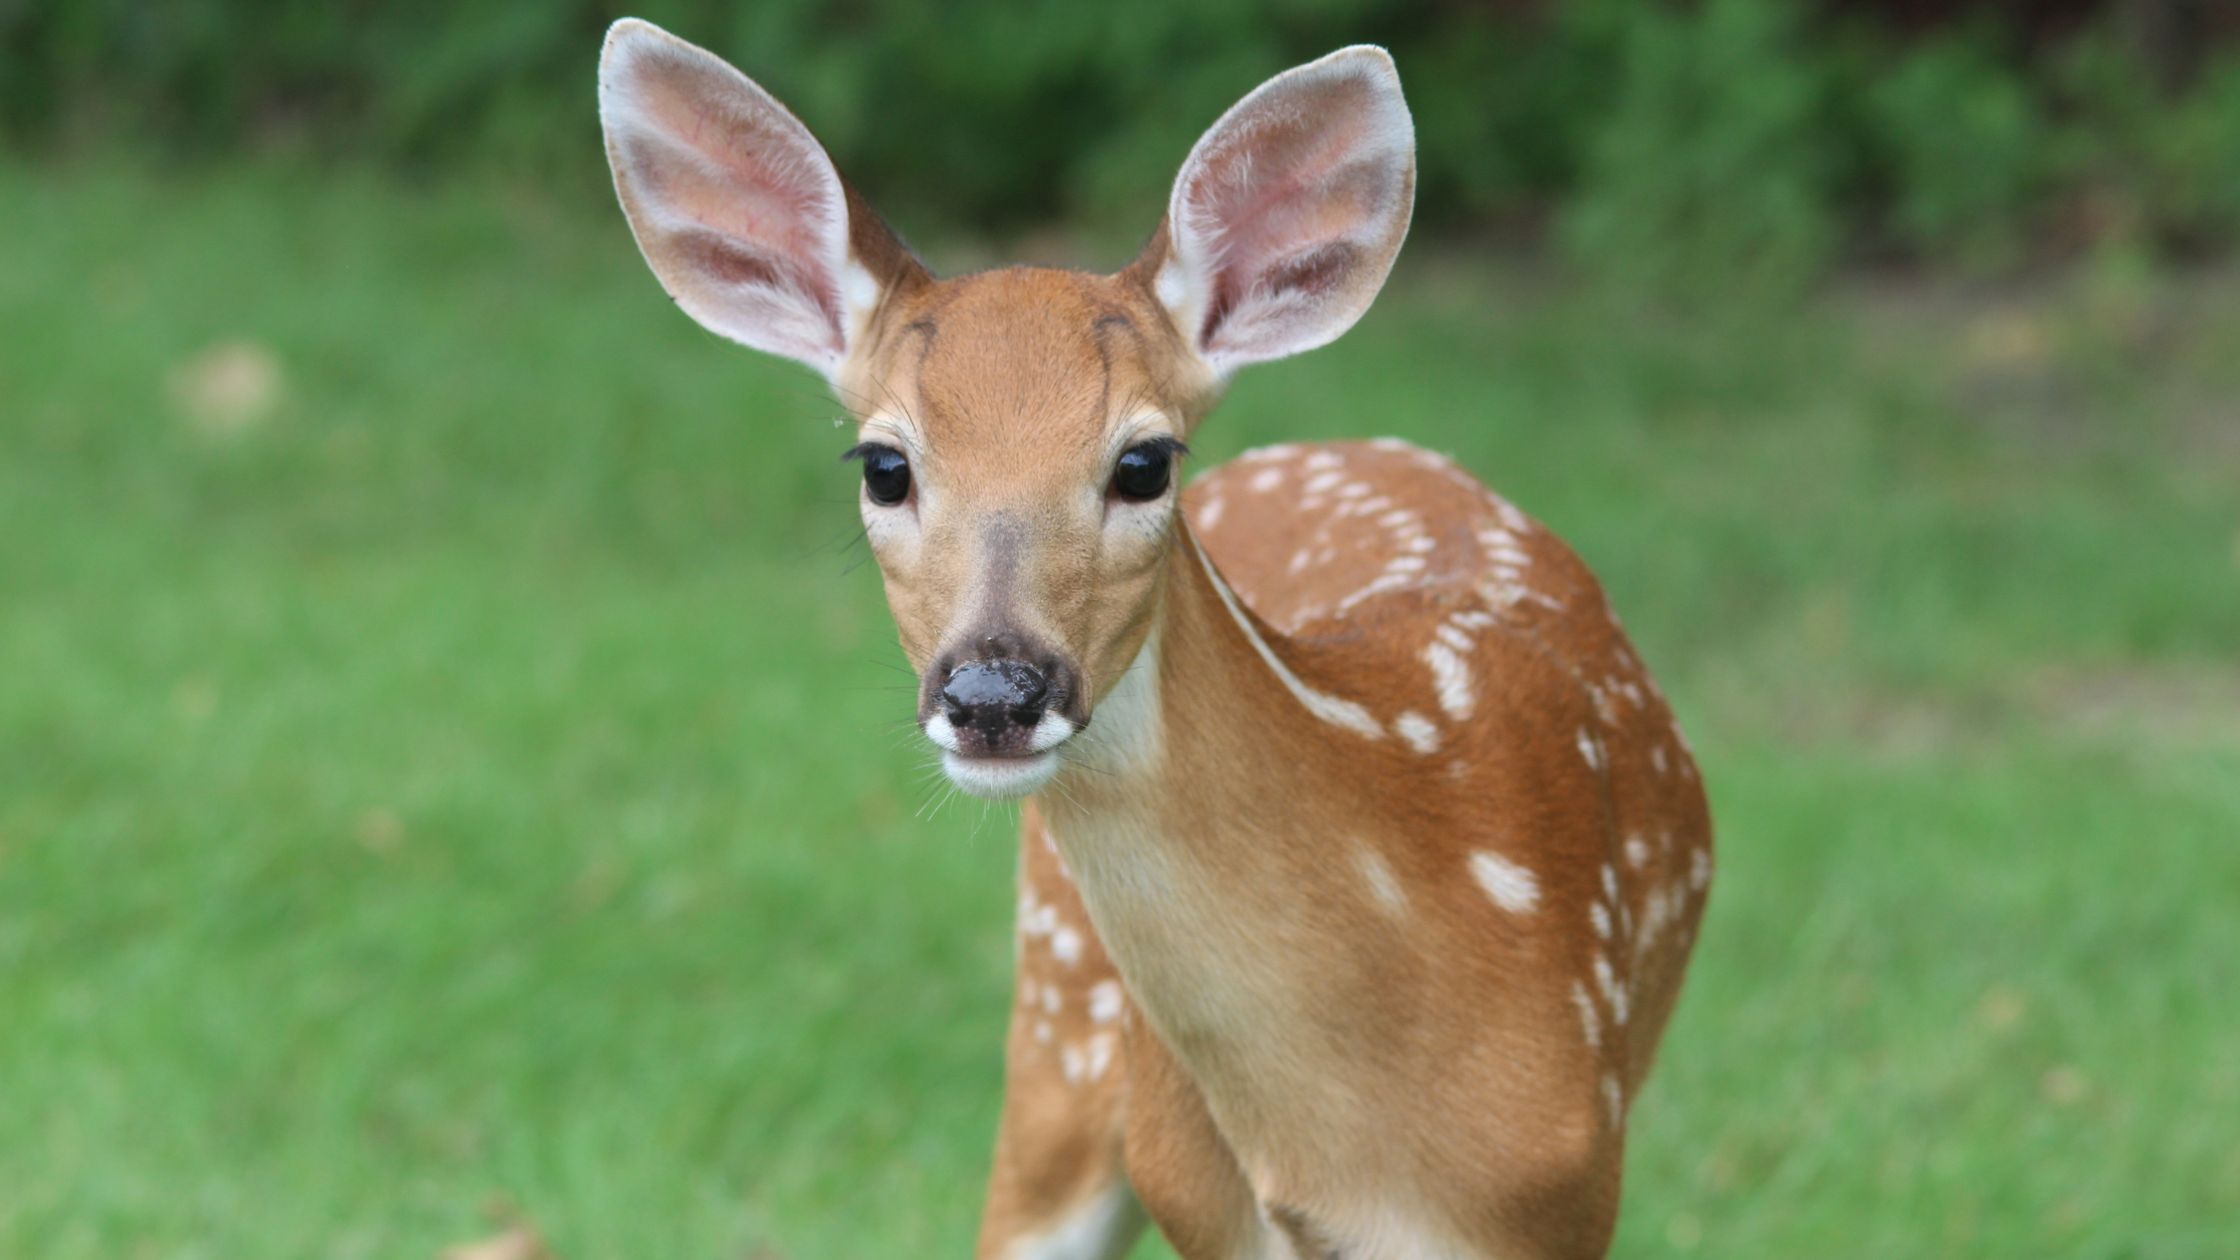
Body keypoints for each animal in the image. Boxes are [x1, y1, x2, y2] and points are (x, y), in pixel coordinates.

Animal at [600, 22, 1711, 1255]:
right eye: (883, 464)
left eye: (1143, 461)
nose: (993, 693)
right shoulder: (1200, 1197)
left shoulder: (1562, 1192)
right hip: (1060, 1024)